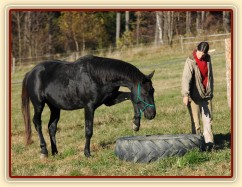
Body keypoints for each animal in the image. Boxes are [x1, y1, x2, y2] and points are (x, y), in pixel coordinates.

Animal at [21, 54, 156, 159]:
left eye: (153, 91)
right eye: (144, 93)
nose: (152, 114)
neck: (98, 75)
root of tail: (30, 73)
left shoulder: (110, 100)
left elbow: (132, 98)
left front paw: (136, 124)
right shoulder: (89, 107)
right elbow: (88, 131)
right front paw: (87, 153)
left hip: (54, 107)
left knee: (51, 127)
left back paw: (55, 152)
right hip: (39, 104)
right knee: (37, 123)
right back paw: (44, 151)